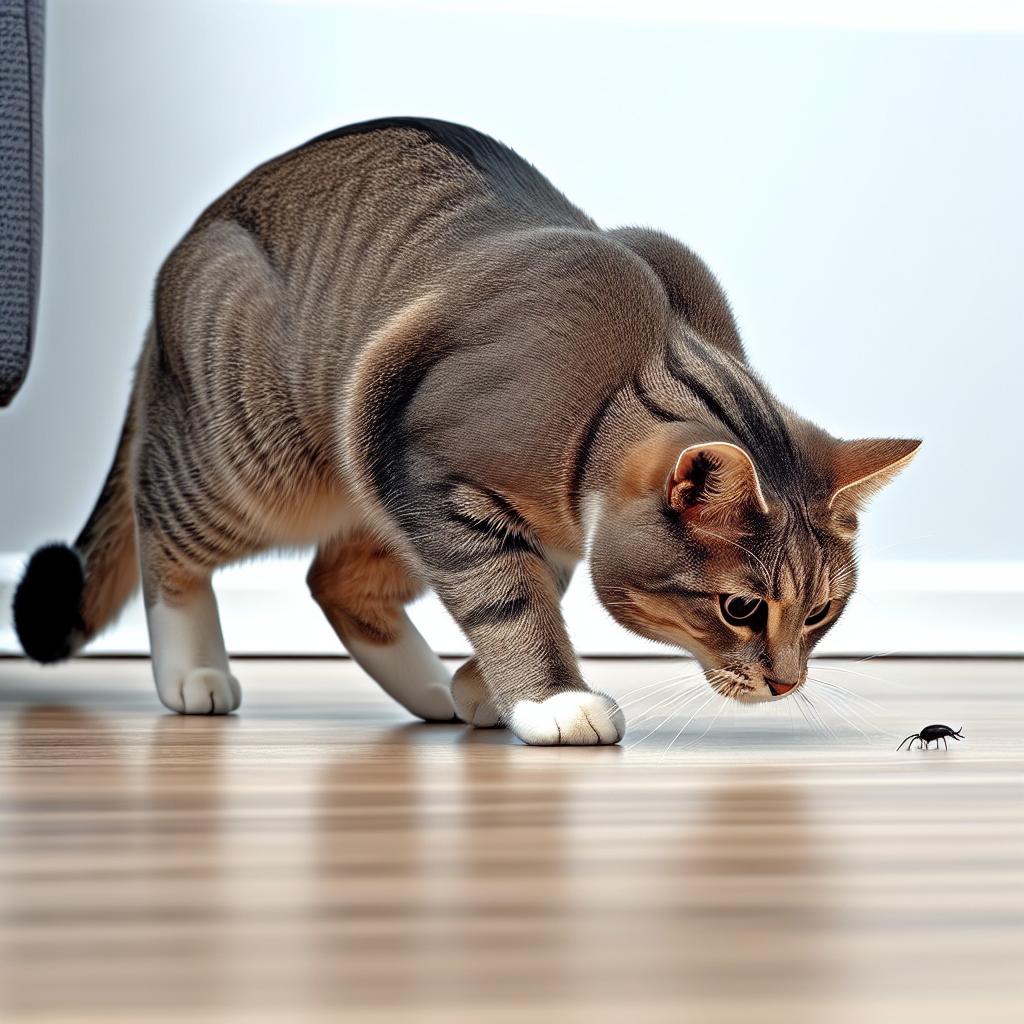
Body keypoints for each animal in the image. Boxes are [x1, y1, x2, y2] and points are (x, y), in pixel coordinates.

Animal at [8, 117, 921, 745]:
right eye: (740, 607)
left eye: (821, 613)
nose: (788, 684)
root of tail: (191, 238)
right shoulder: (438, 478)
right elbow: (510, 599)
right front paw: (549, 698)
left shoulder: (510, 520)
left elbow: (527, 591)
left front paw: (489, 687)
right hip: (248, 462)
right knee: (164, 533)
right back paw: (195, 669)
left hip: (368, 489)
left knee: (338, 583)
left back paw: (433, 692)